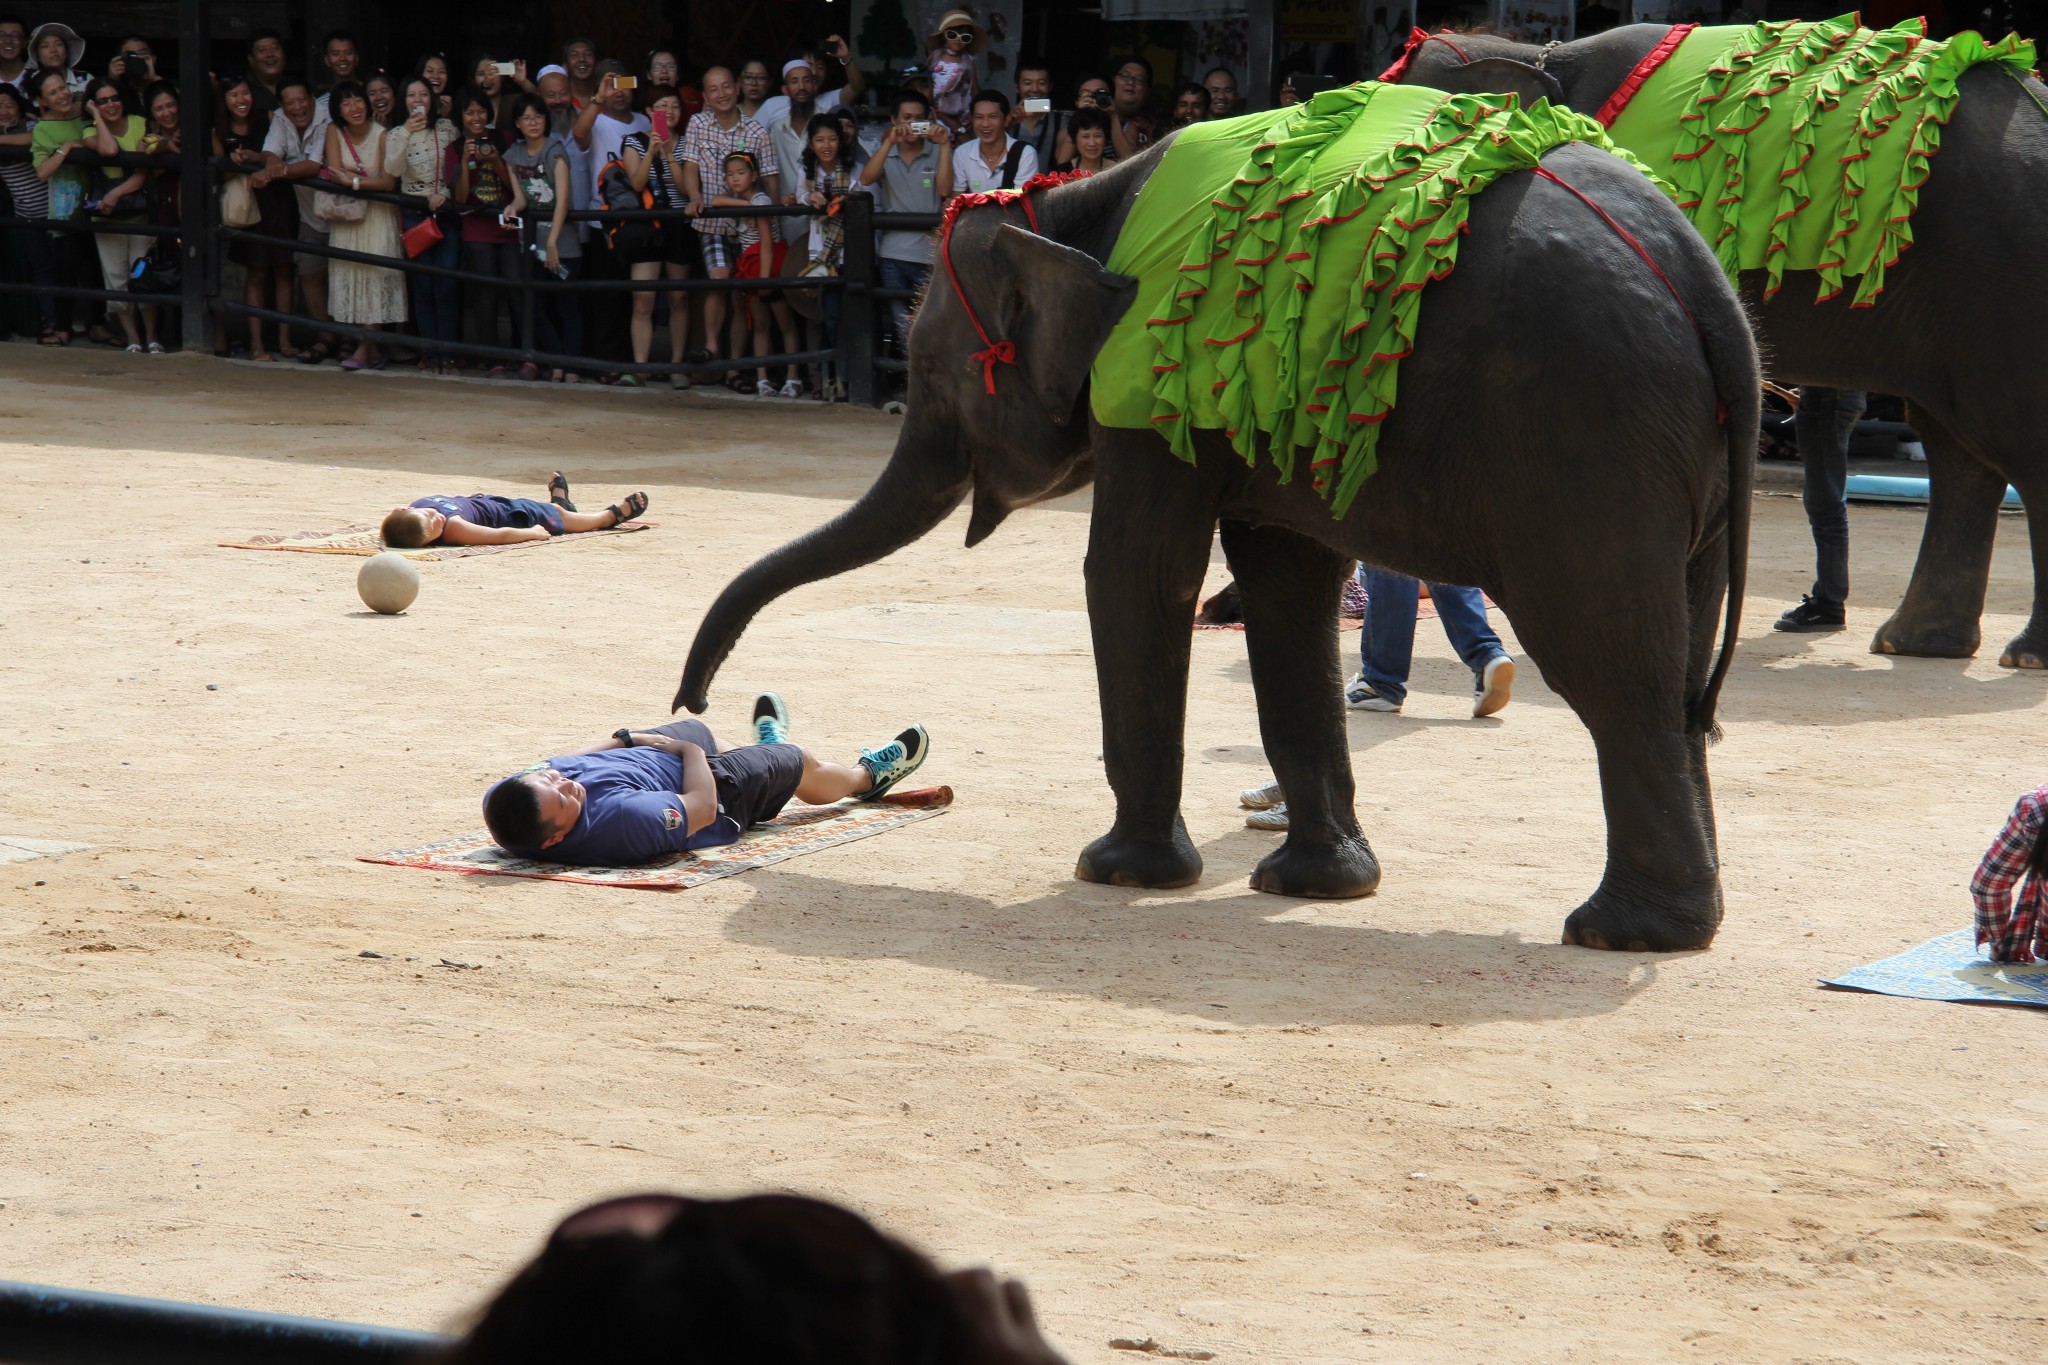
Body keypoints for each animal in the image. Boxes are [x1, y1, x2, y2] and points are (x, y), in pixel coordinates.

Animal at [675, 98, 1761, 949]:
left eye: (933, 371)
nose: (695, 700)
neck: (1072, 206)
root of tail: (1706, 285)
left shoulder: (1152, 385)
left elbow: (1135, 573)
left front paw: (1116, 873)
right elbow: (1284, 586)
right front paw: (1317, 887)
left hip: (1586, 441)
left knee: (1607, 665)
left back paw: (1620, 933)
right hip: (1677, 462)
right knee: (1679, 668)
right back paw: (1677, 923)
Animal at [1384, 15, 2048, 667]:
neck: (1542, 53)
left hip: (2003, 277)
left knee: (2010, 440)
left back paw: (2021, 654)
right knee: (1957, 446)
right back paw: (1913, 643)